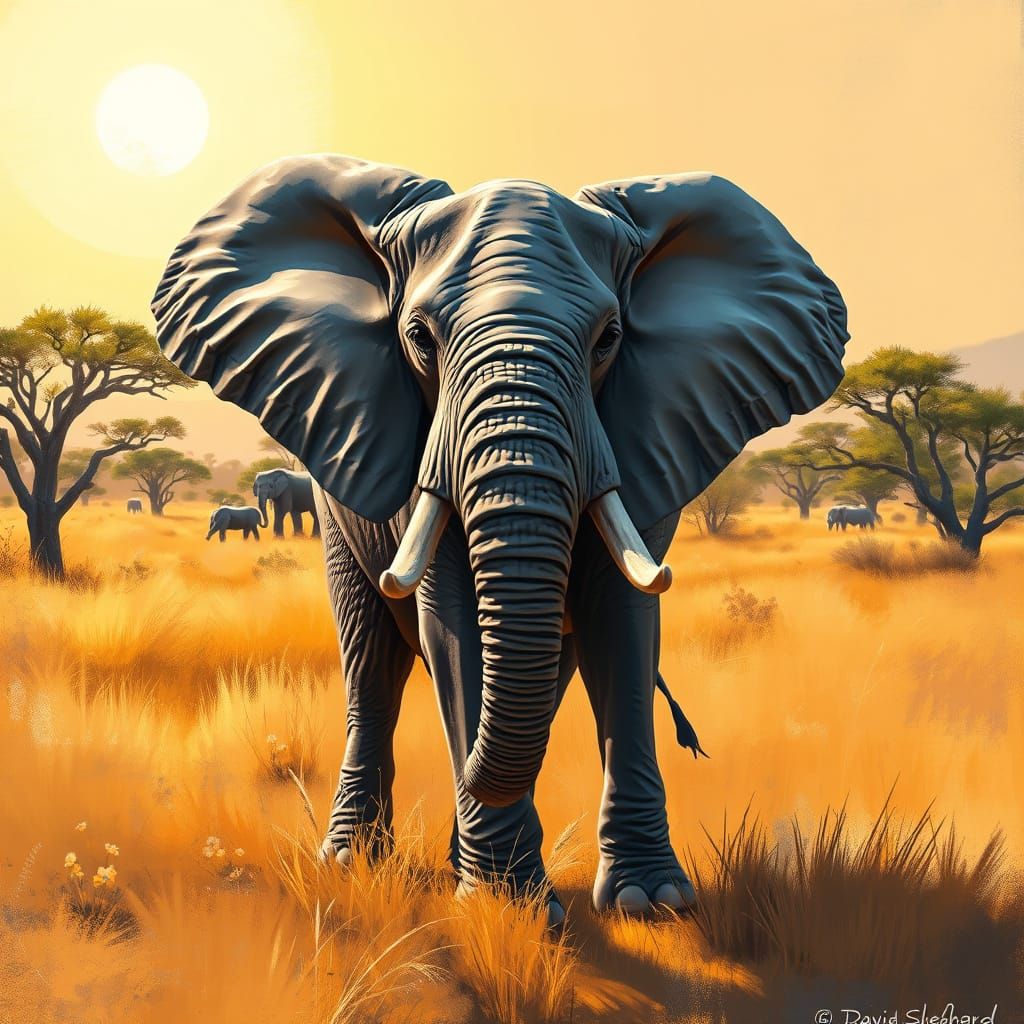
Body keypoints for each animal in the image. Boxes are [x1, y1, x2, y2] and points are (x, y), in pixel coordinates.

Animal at [152, 155, 848, 923]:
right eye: (419, 338)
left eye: (609, 338)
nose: (695, 741)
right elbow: (453, 628)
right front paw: (508, 907)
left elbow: (623, 626)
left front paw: (652, 901)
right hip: (337, 514)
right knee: (373, 666)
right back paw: (354, 859)